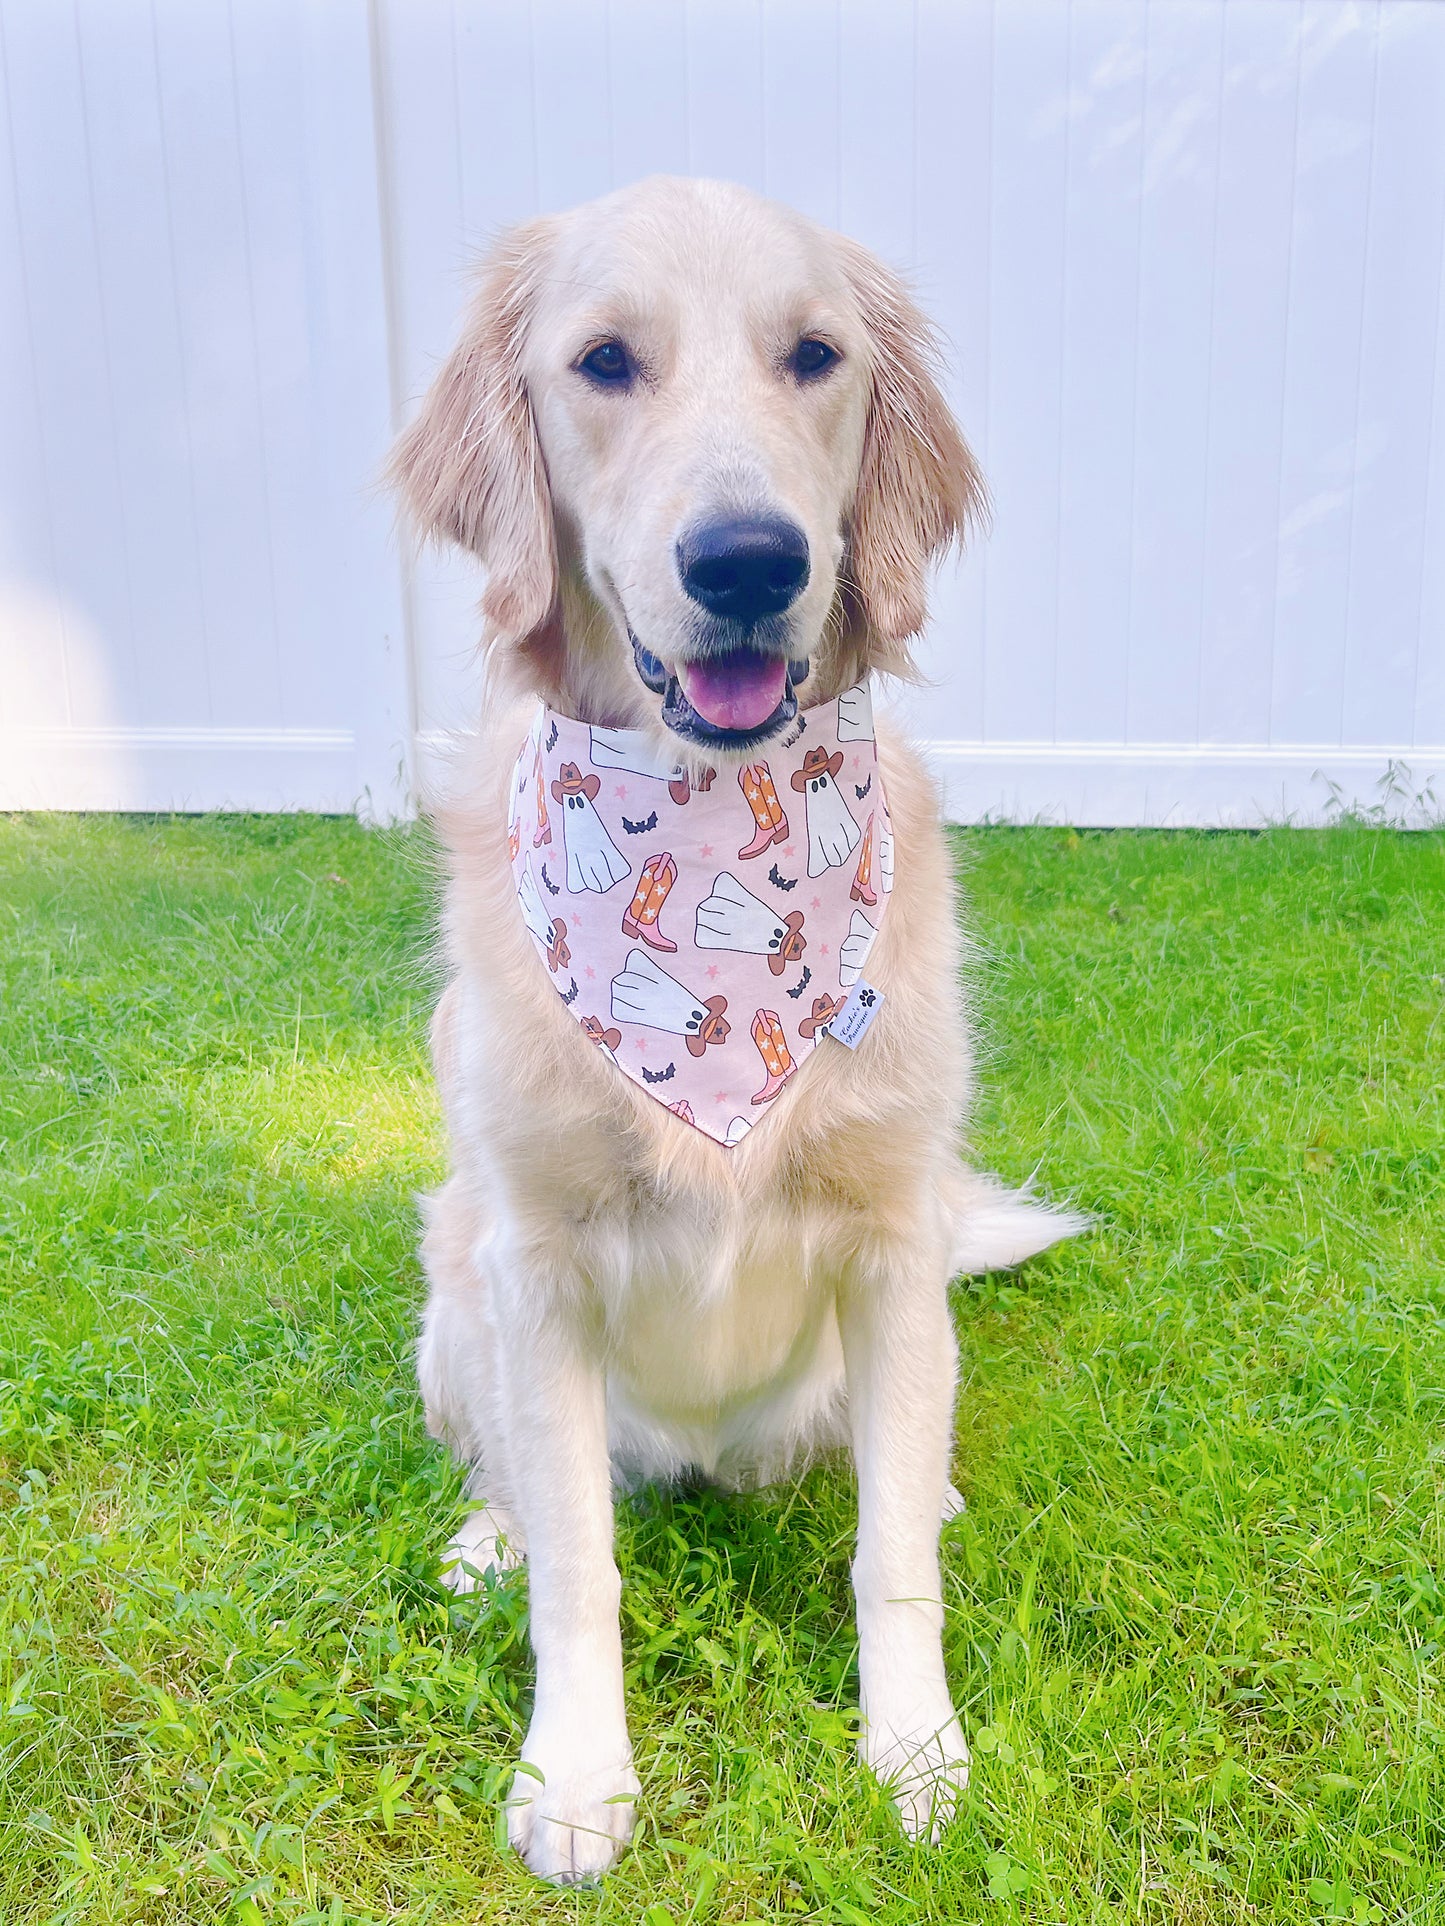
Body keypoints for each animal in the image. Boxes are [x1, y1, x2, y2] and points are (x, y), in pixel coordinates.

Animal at [391, 177, 1078, 1879]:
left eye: (814, 355)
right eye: (603, 362)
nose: (753, 559)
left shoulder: (896, 1240)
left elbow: (888, 1557)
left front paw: (915, 1751)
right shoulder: (535, 1261)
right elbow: (579, 1566)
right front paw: (575, 1774)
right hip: (454, 1285)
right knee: (511, 1470)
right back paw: (484, 1531)